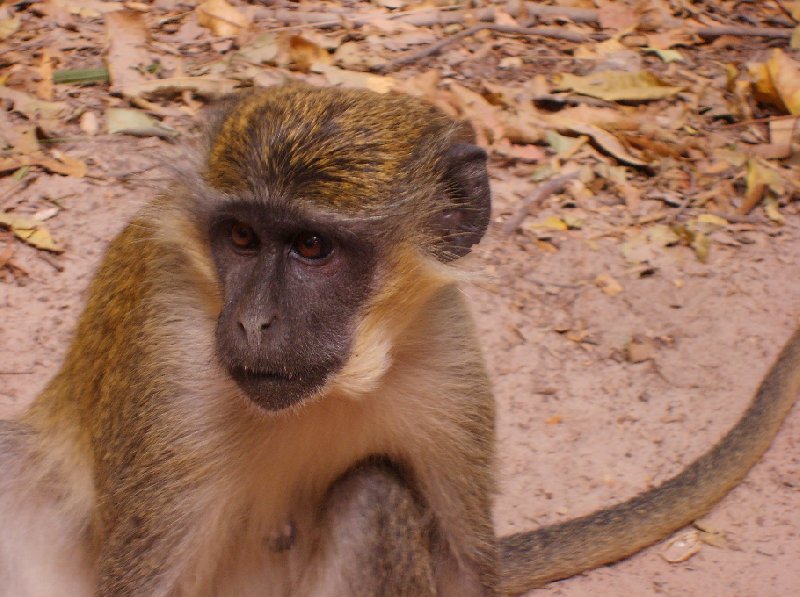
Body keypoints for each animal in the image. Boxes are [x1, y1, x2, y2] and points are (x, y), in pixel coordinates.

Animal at [0, 84, 796, 596]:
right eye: (241, 237)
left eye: (313, 248)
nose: (253, 321)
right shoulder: (166, 359)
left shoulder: (446, 357)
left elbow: (464, 572)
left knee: (374, 492)